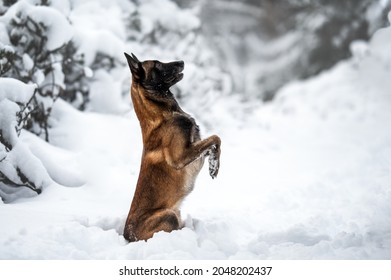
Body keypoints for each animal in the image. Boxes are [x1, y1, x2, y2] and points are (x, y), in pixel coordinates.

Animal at [123, 53, 220, 242]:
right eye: (157, 65)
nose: (181, 61)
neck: (162, 113)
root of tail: (127, 235)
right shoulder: (180, 157)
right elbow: (216, 137)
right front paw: (215, 167)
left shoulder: (194, 148)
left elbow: (212, 144)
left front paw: (214, 164)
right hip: (169, 215)